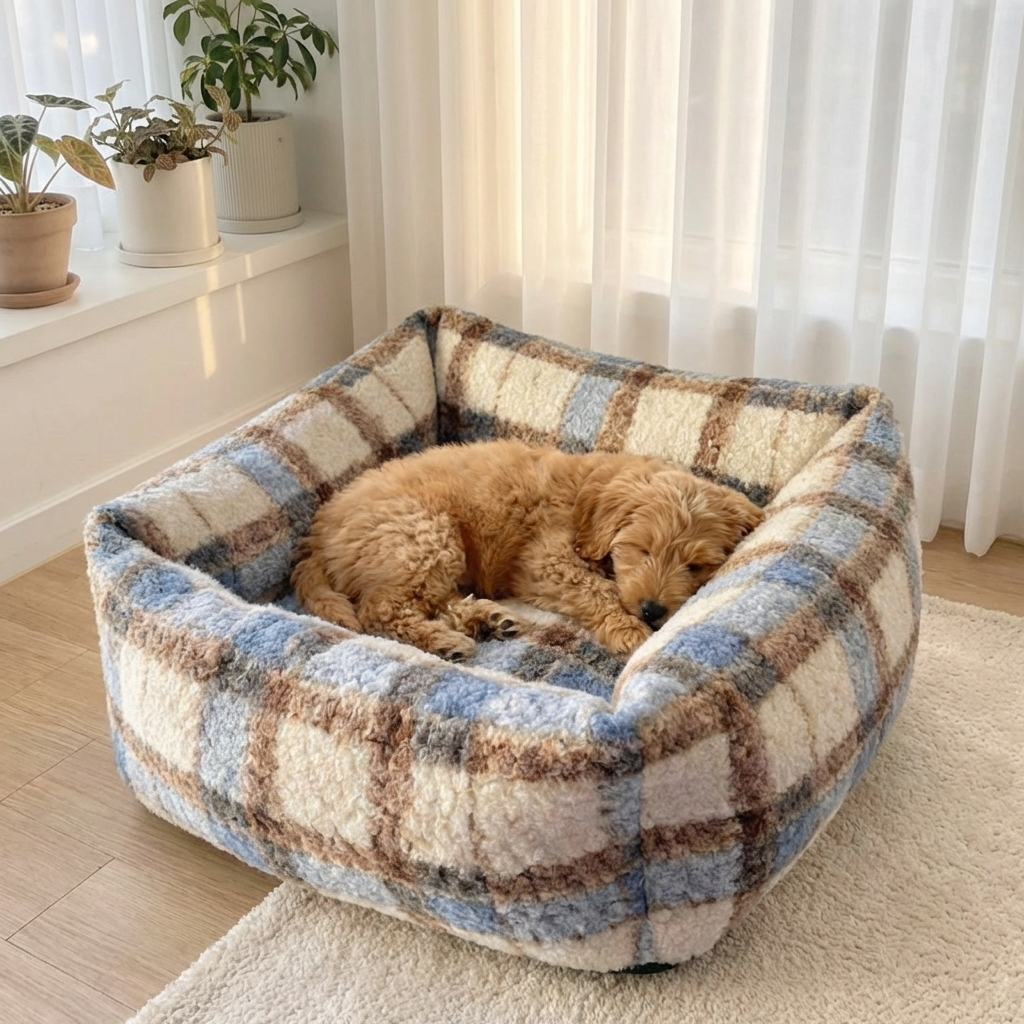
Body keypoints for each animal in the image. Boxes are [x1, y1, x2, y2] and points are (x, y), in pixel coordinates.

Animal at [291, 439, 763, 659]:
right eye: (642, 550)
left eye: (695, 565)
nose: (652, 610)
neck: (588, 495)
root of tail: (317, 534)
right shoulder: (541, 561)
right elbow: (596, 589)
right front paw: (628, 630)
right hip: (423, 536)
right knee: (382, 611)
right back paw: (445, 641)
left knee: (435, 601)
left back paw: (488, 620)